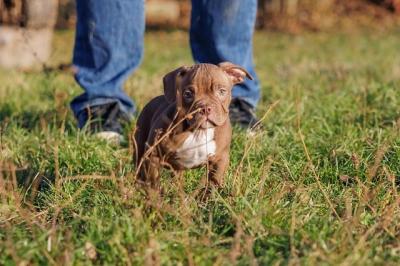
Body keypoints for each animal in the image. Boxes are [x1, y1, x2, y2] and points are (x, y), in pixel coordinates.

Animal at [134, 61, 253, 189]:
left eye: (221, 91)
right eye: (188, 94)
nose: (205, 108)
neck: (200, 131)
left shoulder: (220, 160)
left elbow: (213, 182)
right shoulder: (153, 156)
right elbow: (152, 181)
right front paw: (152, 193)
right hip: (140, 145)